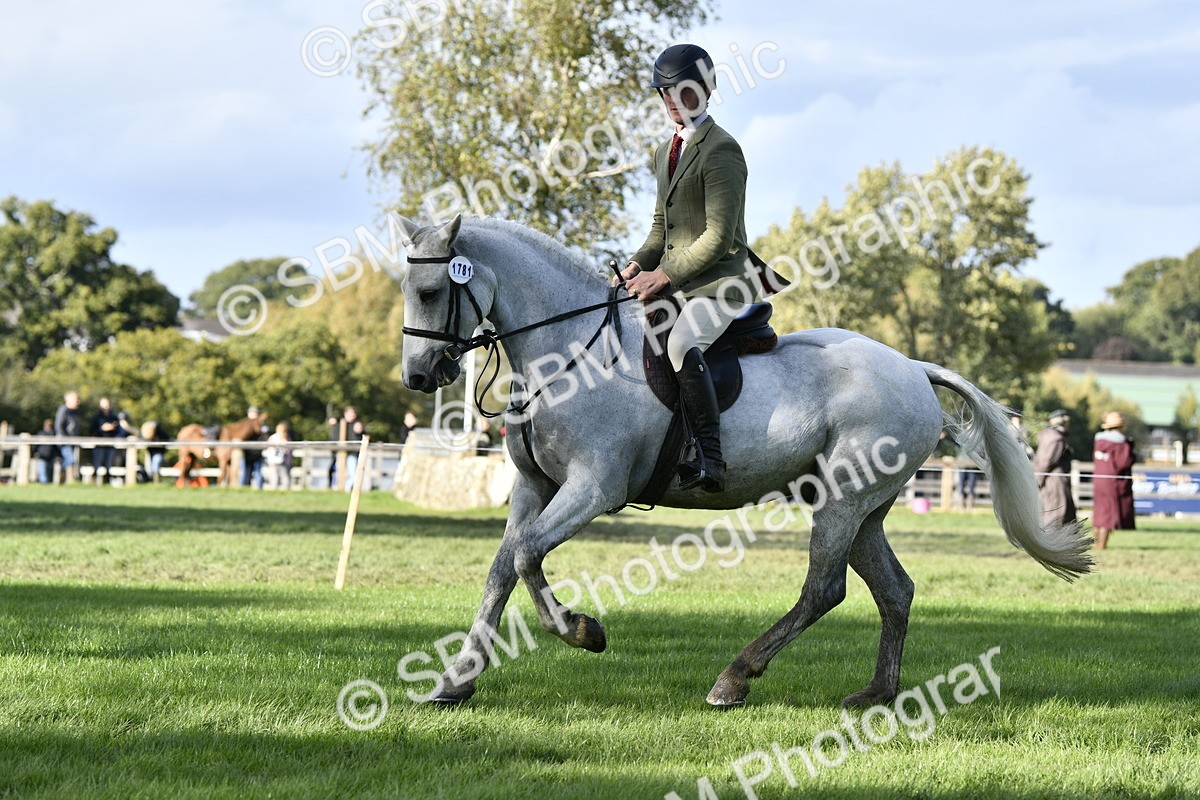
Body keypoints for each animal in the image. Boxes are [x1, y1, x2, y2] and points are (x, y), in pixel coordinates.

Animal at [396, 214, 1092, 708]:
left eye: (430, 290)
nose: (418, 376)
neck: (569, 350)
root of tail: (913, 368)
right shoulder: (533, 487)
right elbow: (503, 568)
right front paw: (455, 681)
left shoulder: (593, 488)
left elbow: (525, 556)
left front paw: (582, 631)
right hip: (863, 506)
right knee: (893, 590)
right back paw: (876, 693)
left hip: (842, 500)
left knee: (823, 589)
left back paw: (734, 679)